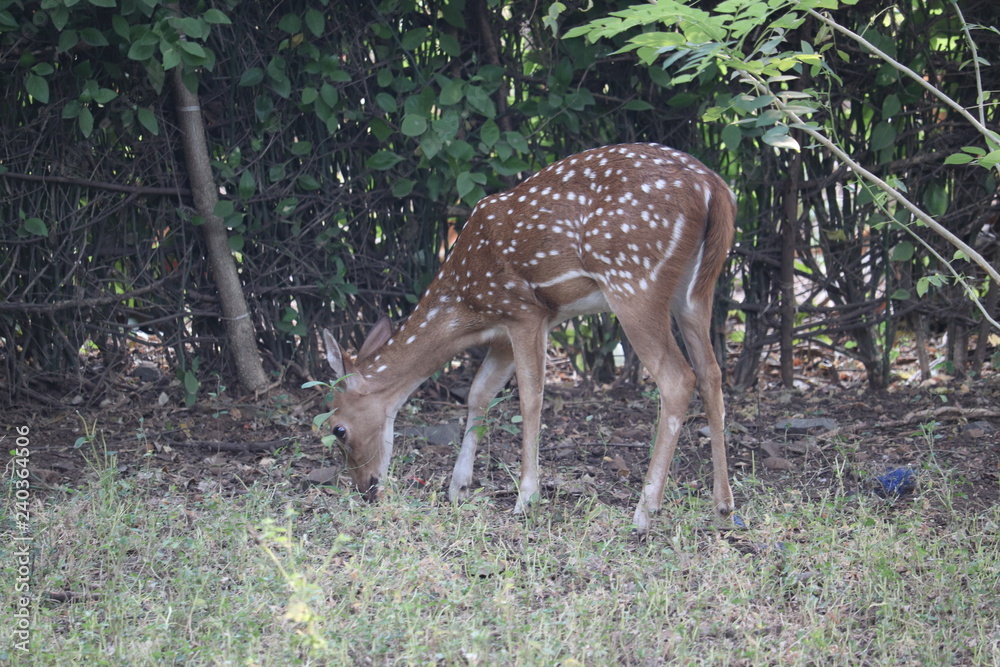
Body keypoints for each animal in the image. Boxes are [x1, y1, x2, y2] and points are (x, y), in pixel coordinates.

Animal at [322, 143, 736, 534]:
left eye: (338, 428)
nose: (365, 487)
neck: (466, 306)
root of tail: (713, 188)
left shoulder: (525, 312)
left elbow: (530, 399)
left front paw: (525, 499)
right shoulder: (503, 333)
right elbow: (478, 394)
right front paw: (458, 487)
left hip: (633, 279)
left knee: (677, 378)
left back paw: (644, 513)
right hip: (696, 291)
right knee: (712, 373)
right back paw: (723, 506)